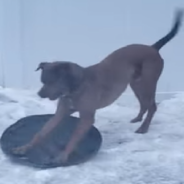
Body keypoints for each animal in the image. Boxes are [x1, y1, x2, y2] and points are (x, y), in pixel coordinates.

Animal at [12, 9, 183, 163]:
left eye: (53, 82)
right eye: (43, 81)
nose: (39, 94)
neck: (75, 88)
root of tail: (153, 48)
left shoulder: (87, 118)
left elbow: (73, 138)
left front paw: (63, 156)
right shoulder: (60, 114)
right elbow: (41, 132)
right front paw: (24, 148)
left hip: (147, 84)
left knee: (152, 106)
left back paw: (143, 128)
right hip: (136, 84)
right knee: (144, 104)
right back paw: (138, 119)